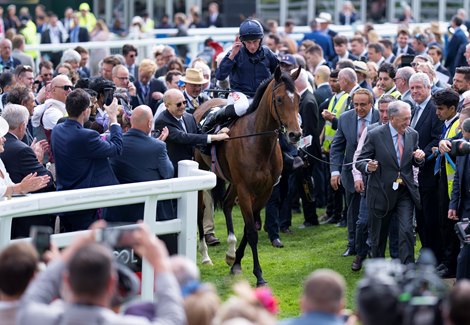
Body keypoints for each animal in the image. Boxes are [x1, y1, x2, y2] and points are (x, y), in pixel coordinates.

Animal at [194, 66, 302, 284]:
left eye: (298, 98)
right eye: (279, 99)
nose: (295, 134)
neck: (258, 141)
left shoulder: (265, 190)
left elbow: (248, 227)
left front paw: (235, 262)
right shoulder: (245, 189)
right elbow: (252, 231)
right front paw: (259, 275)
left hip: (233, 183)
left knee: (227, 204)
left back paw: (230, 251)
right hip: (202, 170)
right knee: (201, 212)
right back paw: (205, 256)